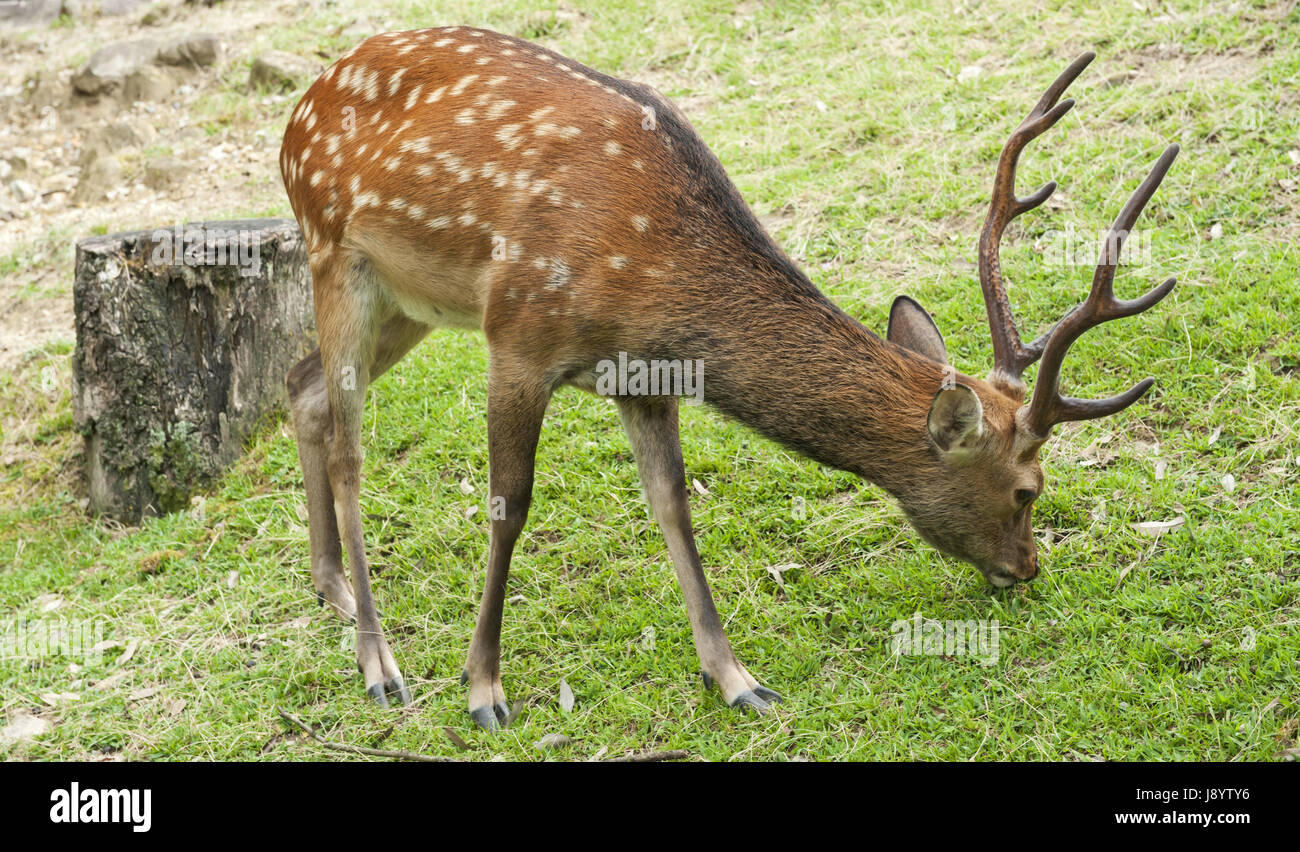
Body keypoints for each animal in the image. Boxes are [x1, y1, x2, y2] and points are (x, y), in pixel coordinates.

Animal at [282, 29, 1180, 728]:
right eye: (1028, 488)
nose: (1027, 569)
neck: (651, 273)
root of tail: (302, 102)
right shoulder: (519, 337)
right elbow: (511, 506)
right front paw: (483, 690)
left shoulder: (641, 376)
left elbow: (674, 507)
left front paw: (738, 680)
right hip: (335, 251)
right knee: (351, 450)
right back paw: (379, 664)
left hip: (413, 303)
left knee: (302, 386)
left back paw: (332, 589)